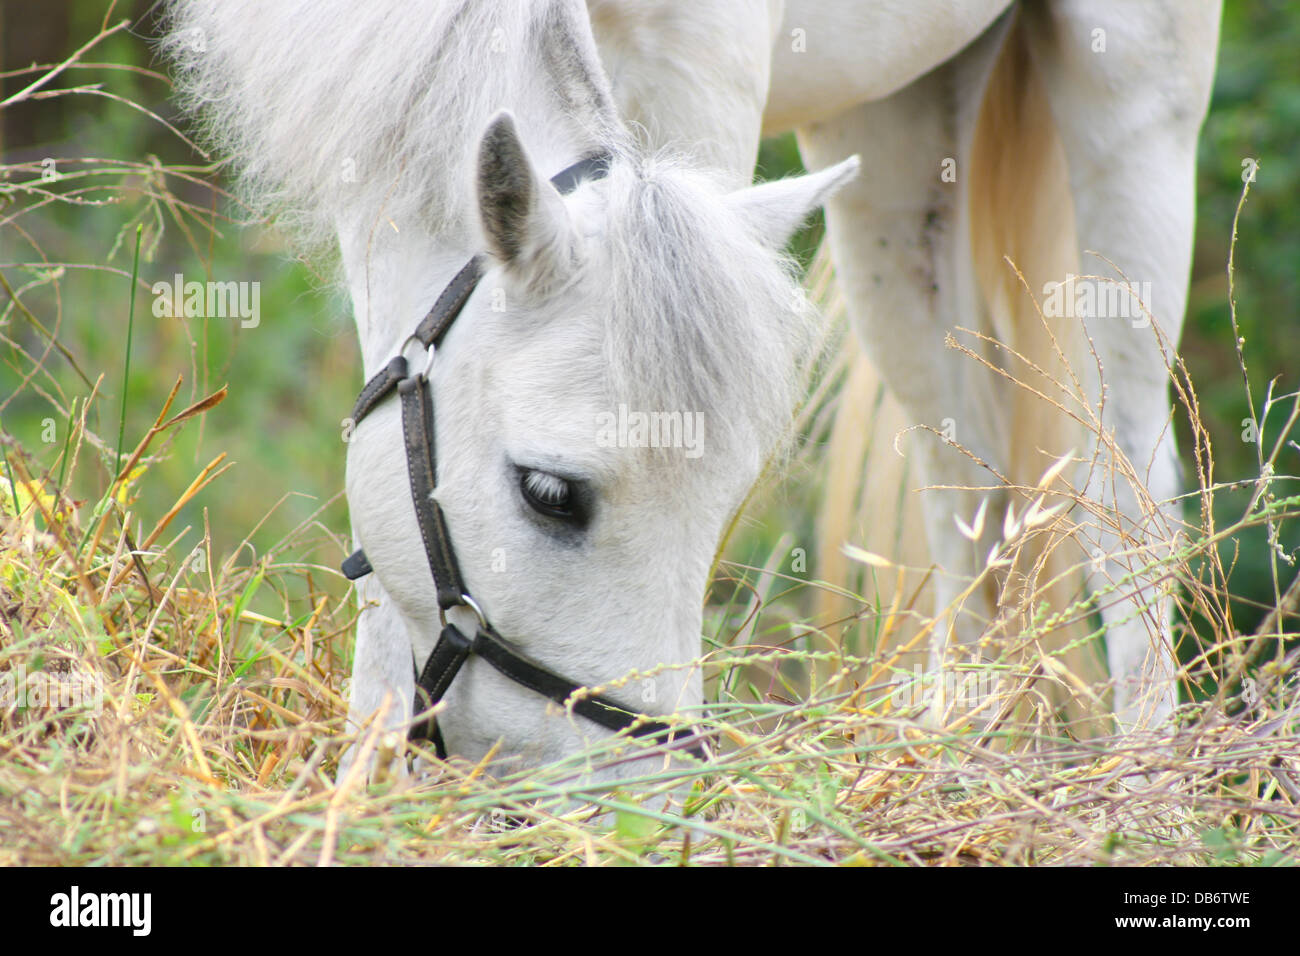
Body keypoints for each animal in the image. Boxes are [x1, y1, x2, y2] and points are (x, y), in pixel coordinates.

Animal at [163, 0, 1221, 780]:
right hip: (896, 140)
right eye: (549, 493)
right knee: (970, 498)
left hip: (1134, 99)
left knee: (1131, 505)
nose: (635, 801)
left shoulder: (704, 67)